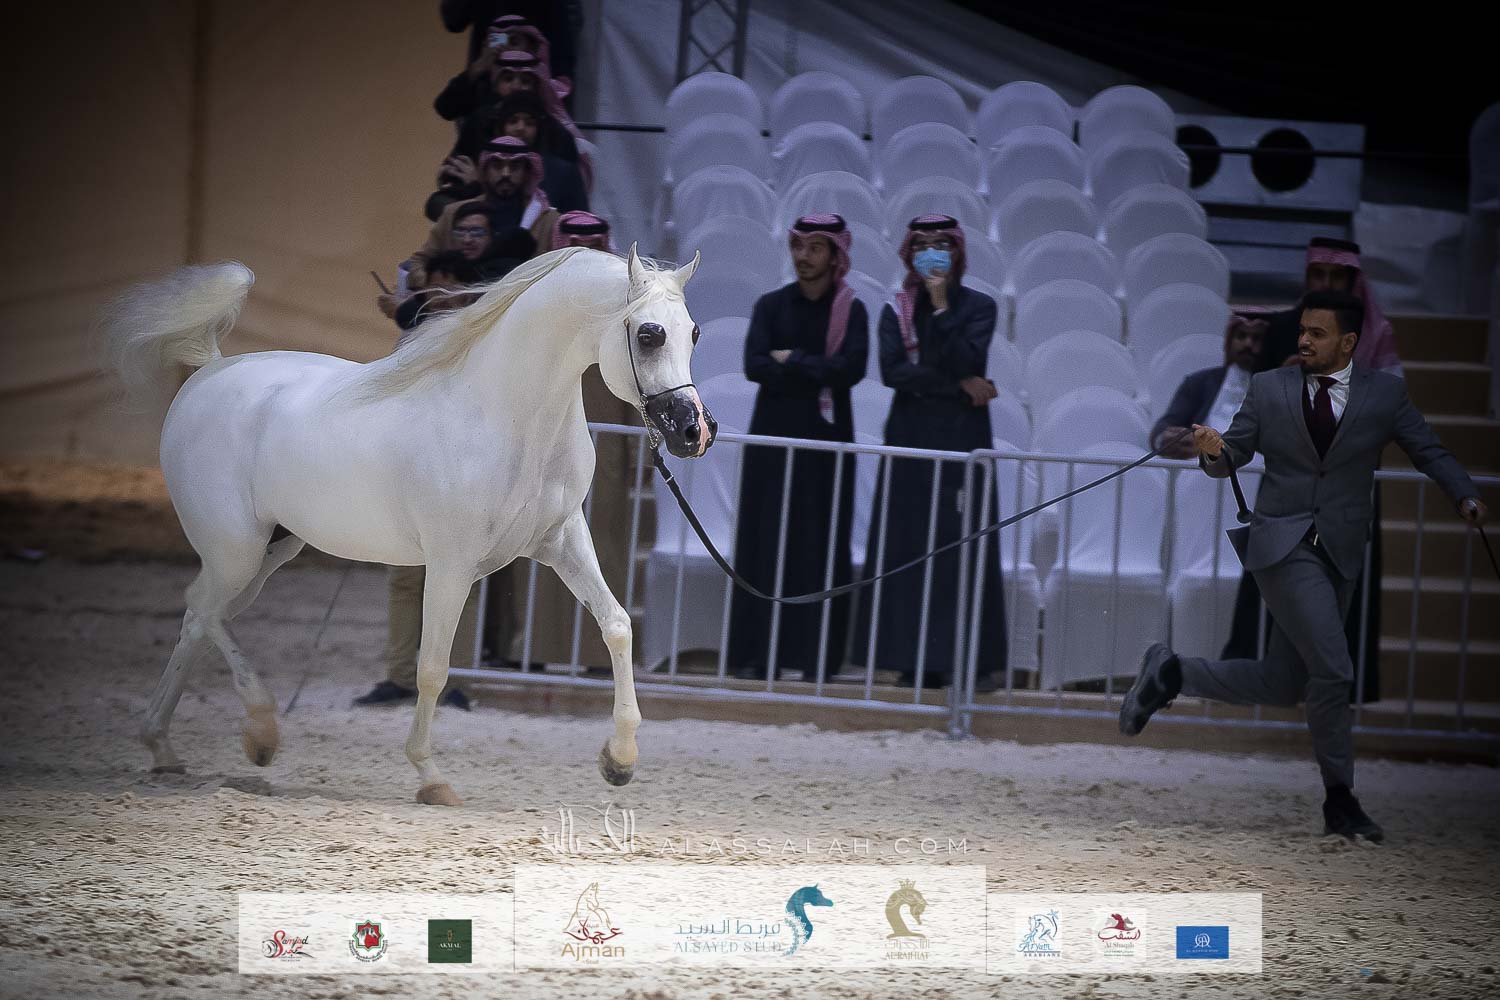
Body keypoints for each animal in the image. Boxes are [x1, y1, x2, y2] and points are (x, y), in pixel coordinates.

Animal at [102, 244, 713, 806]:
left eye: (694, 332)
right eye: (650, 334)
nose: (693, 432)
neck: (504, 417)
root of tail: (209, 372)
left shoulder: (561, 543)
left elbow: (617, 627)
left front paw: (620, 761)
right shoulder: (450, 565)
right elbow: (432, 669)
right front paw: (431, 777)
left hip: (270, 552)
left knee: (199, 620)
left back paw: (164, 747)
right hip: (235, 549)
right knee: (202, 610)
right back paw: (259, 730)